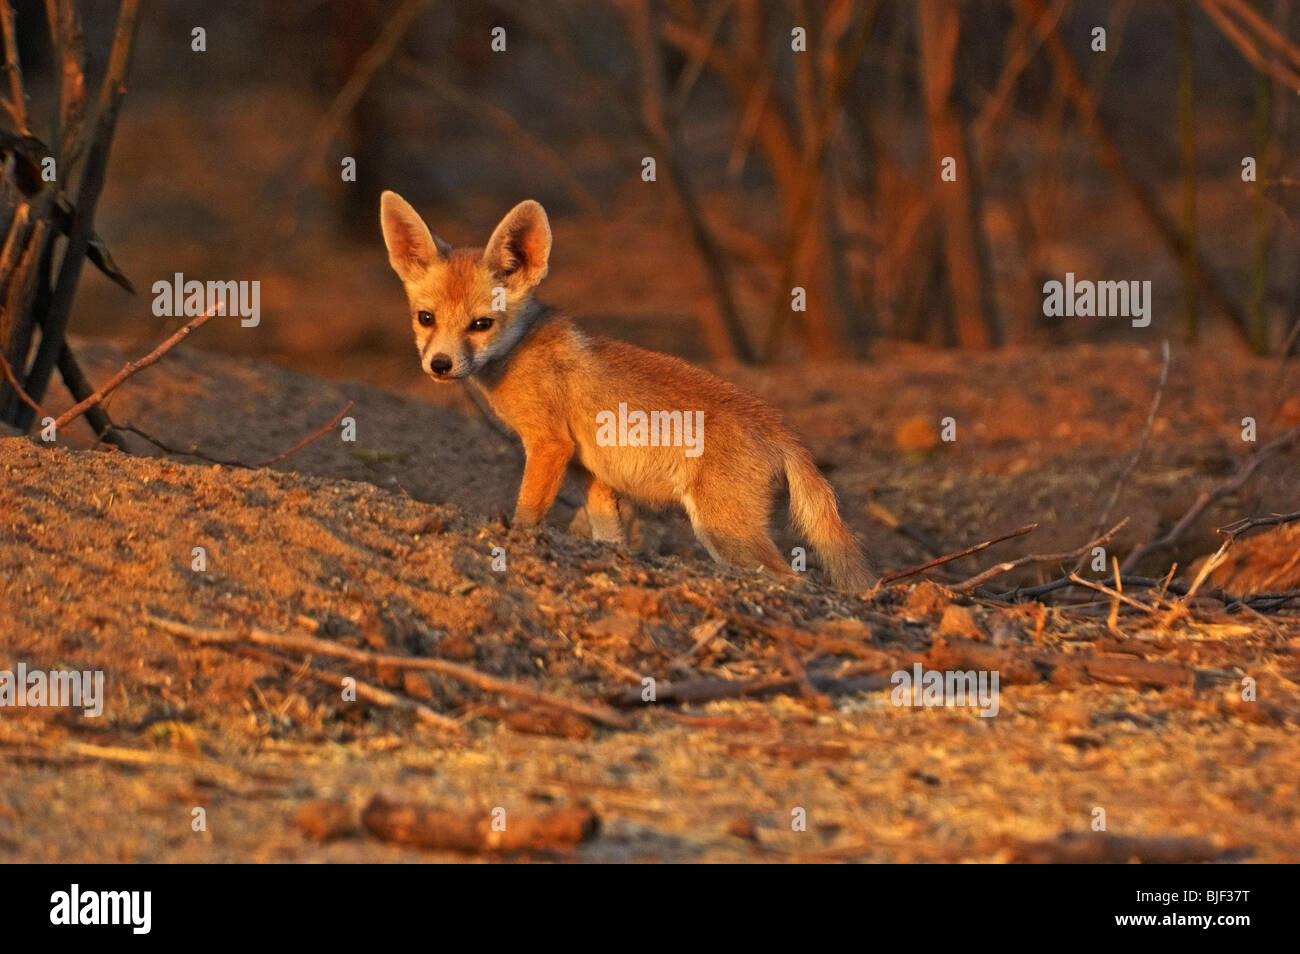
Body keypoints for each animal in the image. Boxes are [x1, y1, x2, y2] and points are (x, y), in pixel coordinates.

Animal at [379, 191, 878, 590]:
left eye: (481, 324)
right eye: (426, 318)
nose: (439, 365)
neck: (519, 352)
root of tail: (778, 425)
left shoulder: (549, 445)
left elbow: (526, 515)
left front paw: (517, 540)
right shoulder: (593, 475)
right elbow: (610, 536)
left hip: (724, 532)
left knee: (794, 580)